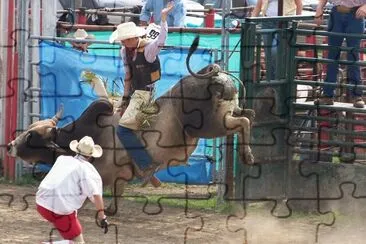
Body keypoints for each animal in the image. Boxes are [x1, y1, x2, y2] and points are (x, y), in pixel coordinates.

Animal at [6, 36, 254, 214]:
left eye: (31, 137)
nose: (9, 145)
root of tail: (213, 73)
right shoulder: (120, 177)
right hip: (220, 118)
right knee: (245, 116)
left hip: (209, 125)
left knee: (243, 122)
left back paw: (248, 155)